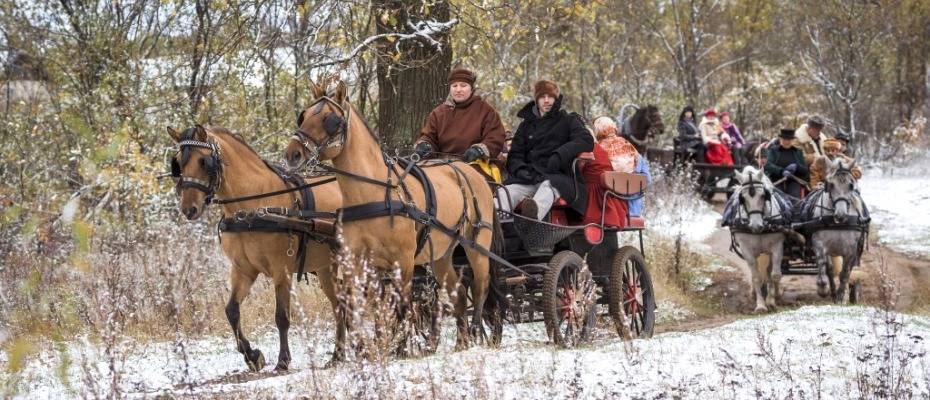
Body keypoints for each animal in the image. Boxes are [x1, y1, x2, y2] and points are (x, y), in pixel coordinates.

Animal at [167, 126, 340, 372]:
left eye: (203, 161)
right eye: (179, 164)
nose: (188, 209)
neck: (250, 209)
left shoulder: (281, 270)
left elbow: (281, 316)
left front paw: (283, 360)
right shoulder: (243, 270)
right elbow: (231, 311)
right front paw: (252, 355)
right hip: (326, 270)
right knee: (340, 306)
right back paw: (339, 354)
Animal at [720, 166, 788, 312]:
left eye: (763, 196)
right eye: (743, 198)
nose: (756, 226)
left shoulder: (777, 247)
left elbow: (775, 274)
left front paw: (772, 299)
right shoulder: (747, 251)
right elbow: (756, 277)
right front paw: (761, 305)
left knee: (770, 272)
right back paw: (753, 293)